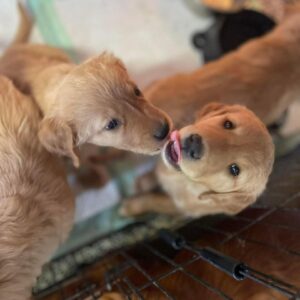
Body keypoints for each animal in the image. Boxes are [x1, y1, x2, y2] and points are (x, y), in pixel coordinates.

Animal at [120, 103, 274, 216]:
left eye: (234, 169)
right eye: (228, 124)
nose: (194, 145)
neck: (183, 179)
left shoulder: (181, 207)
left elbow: (153, 201)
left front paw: (129, 207)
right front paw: (144, 182)